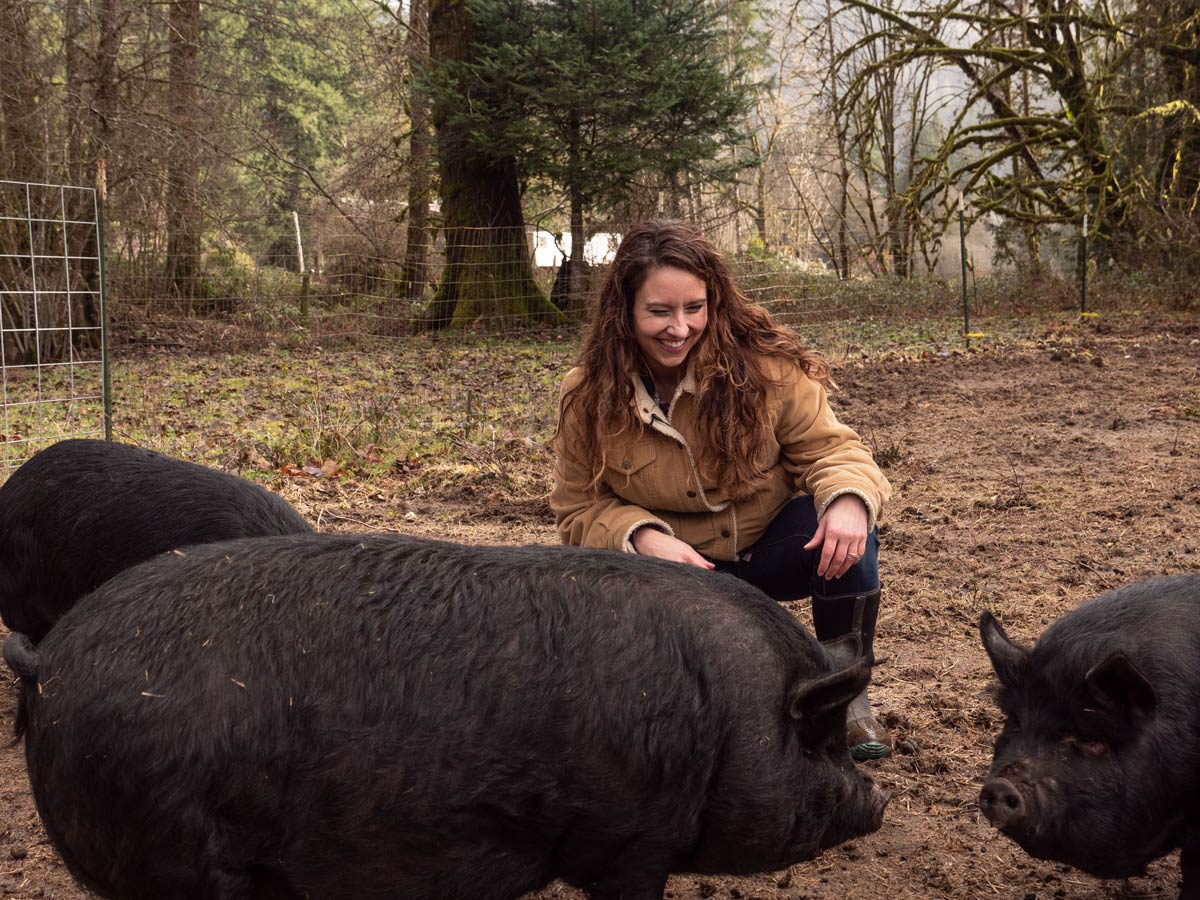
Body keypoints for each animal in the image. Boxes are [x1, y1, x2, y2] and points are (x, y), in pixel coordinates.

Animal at [4, 532, 892, 900]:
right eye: (817, 739)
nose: (880, 800)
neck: (726, 722)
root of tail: (47, 663)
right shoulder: (634, 840)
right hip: (174, 857)